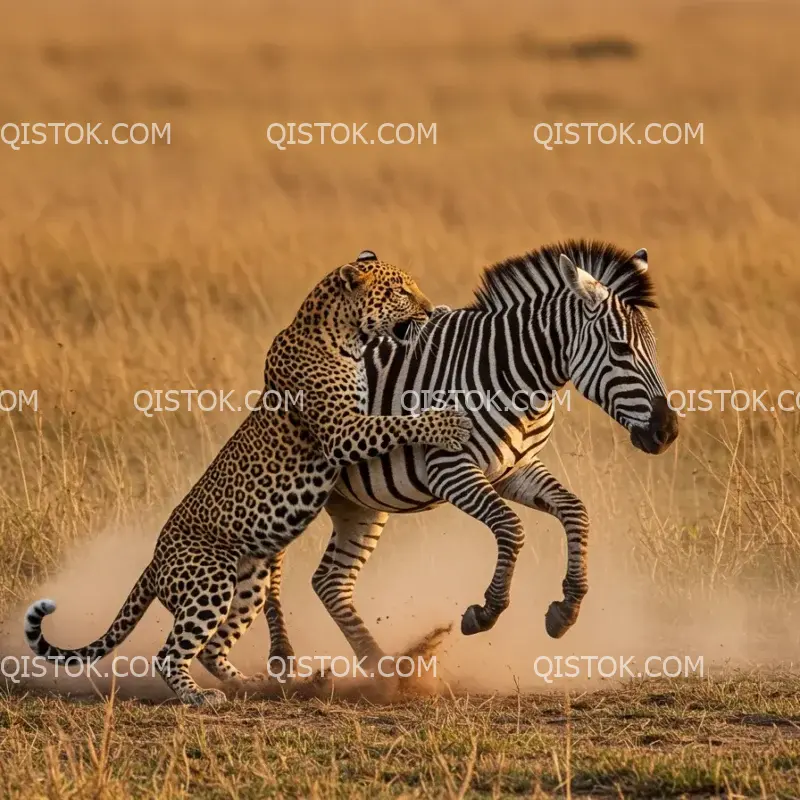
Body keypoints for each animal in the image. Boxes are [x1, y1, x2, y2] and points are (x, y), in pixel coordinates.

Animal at [25, 250, 472, 708]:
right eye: (400, 290)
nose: (429, 308)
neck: (343, 334)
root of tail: (154, 561)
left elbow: (392, 419)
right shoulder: (342, 431)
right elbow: (396, 425)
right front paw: (448, 422)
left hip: (248, 584)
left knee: (212, 648)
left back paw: (254, 685)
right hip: (210, 581)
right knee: (170, 654)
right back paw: (200, 697)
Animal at [260, 238, 680, 668]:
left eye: (654, 348)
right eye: (620, 348)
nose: (667, 432)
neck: (519, 378)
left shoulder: (515, 469)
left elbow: (575, 511)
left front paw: (567, 609)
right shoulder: (448, 468)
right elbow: (511, 527)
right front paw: (485, 612)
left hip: (358, 505)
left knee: (329, 581)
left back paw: (382, 668)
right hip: (289, 494)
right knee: (271, 569)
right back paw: (284, 658)